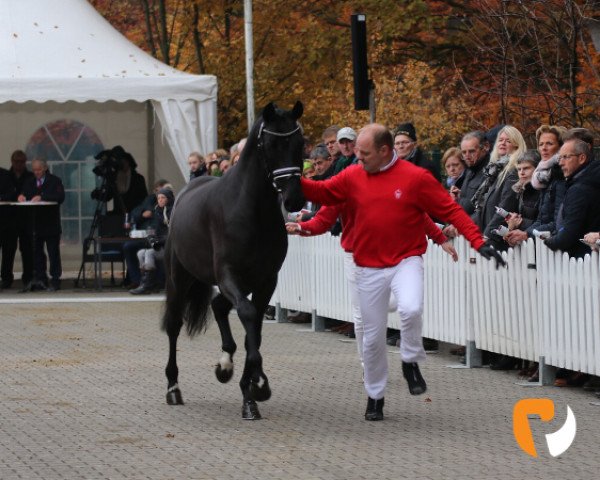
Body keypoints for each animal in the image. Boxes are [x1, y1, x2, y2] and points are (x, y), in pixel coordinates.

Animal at [161, 102, 304, 420]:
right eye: (271, 144)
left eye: (301, 143)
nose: (295, 200)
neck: (252, 210)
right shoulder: (229, 275)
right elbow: (249, 315)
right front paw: (258, 385)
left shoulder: (265, 280)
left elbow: (256, 329)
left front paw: (251, 389)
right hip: (180, 278)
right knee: (175, 325)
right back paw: (173, 388)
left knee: (219, 306)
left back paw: (225, 365)